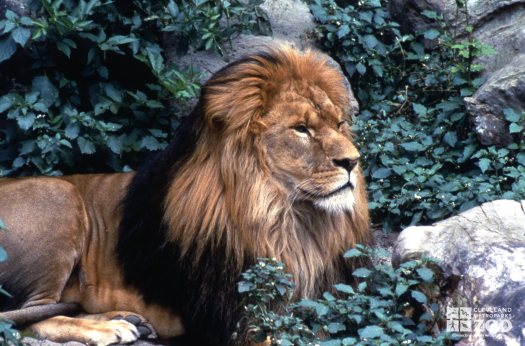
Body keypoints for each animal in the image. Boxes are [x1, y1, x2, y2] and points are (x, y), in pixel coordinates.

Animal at [0, 44, 370, 344]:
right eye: (301, 129)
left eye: (339, 125)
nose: (352, 161)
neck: (291, 221)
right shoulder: (232, 320)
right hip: (60, 194)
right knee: (25, 318)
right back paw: (109, 328)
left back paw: (126, 318)